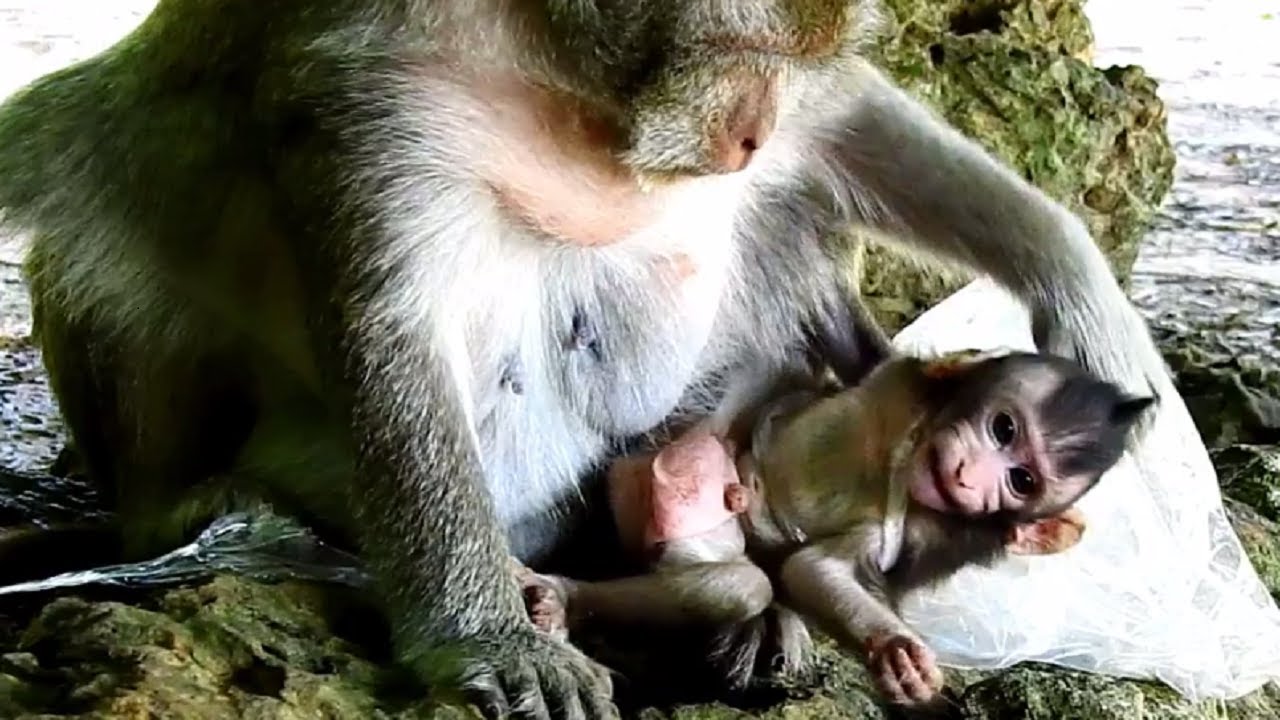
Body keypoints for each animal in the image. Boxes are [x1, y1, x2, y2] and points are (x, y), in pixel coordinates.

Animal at [520, 349, 1154, 707]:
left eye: (1022, 481)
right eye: (1003, 428)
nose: (969, 476)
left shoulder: (920, 532)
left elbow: (816, 568)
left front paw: (895, 655)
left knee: (739, 584)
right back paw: (564, 596)